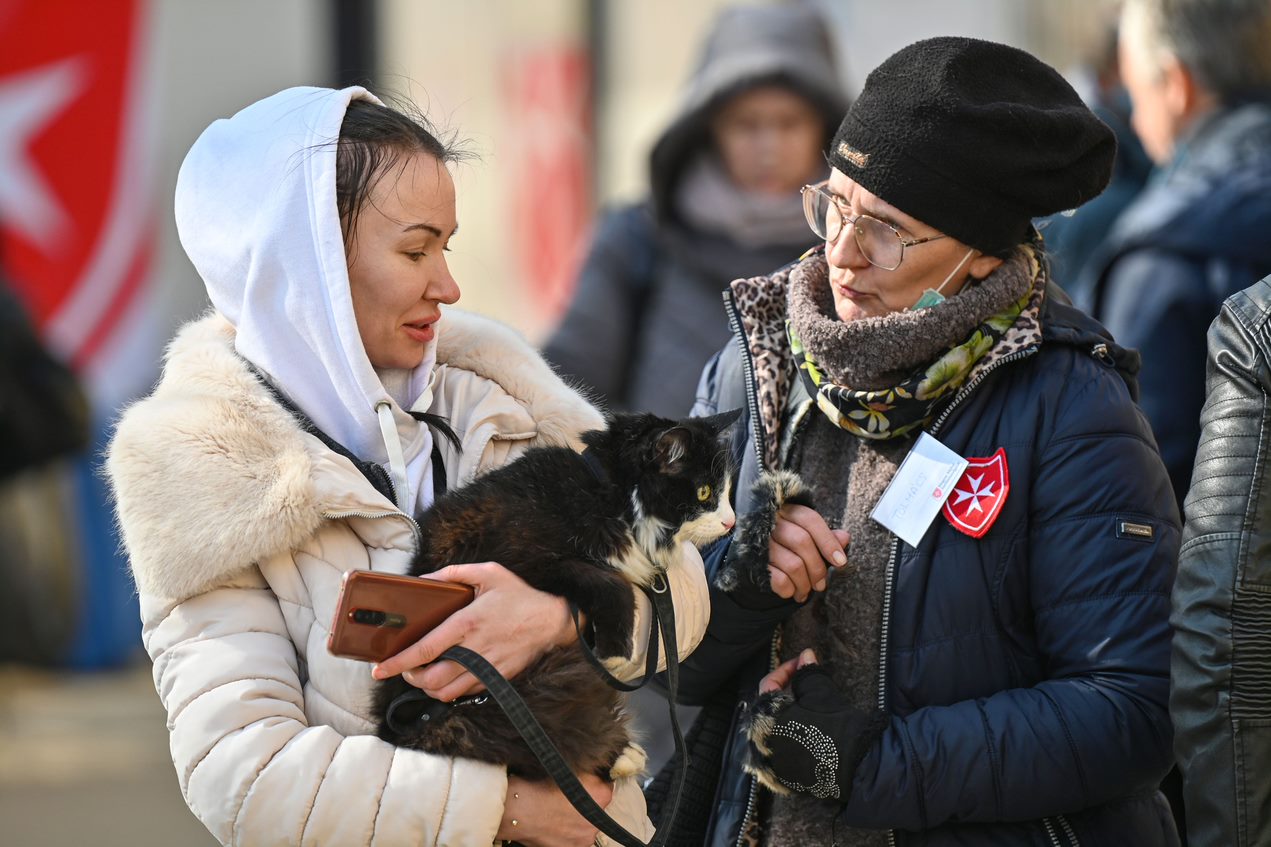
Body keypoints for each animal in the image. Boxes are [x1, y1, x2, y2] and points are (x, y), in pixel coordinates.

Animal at [371, 409, 742, 778]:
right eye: (704, 493)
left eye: (725, 491)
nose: (731, 522)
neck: (611, 497)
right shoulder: (523, 558)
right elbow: (614, 585)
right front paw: (616, 651)